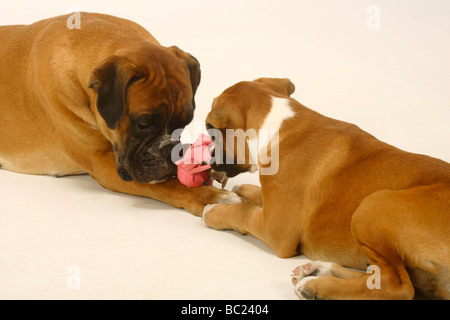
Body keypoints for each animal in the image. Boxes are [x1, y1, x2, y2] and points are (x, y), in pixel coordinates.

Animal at [0, 13, 241, 218]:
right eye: (143, 123)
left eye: (185, 123)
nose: (172, 149)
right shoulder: (102, 161)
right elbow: (167, 185)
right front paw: (211, 197)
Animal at [203, 77, 450, 300]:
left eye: (212, 133)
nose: (209, 160)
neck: (278, 127)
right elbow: (256, 197)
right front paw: (242, 190)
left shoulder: (275, 230)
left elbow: (242, 213)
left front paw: (214, 211)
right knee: (378, 275)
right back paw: (318, 271)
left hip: (373, 204)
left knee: (396, 285)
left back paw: (316, 286)